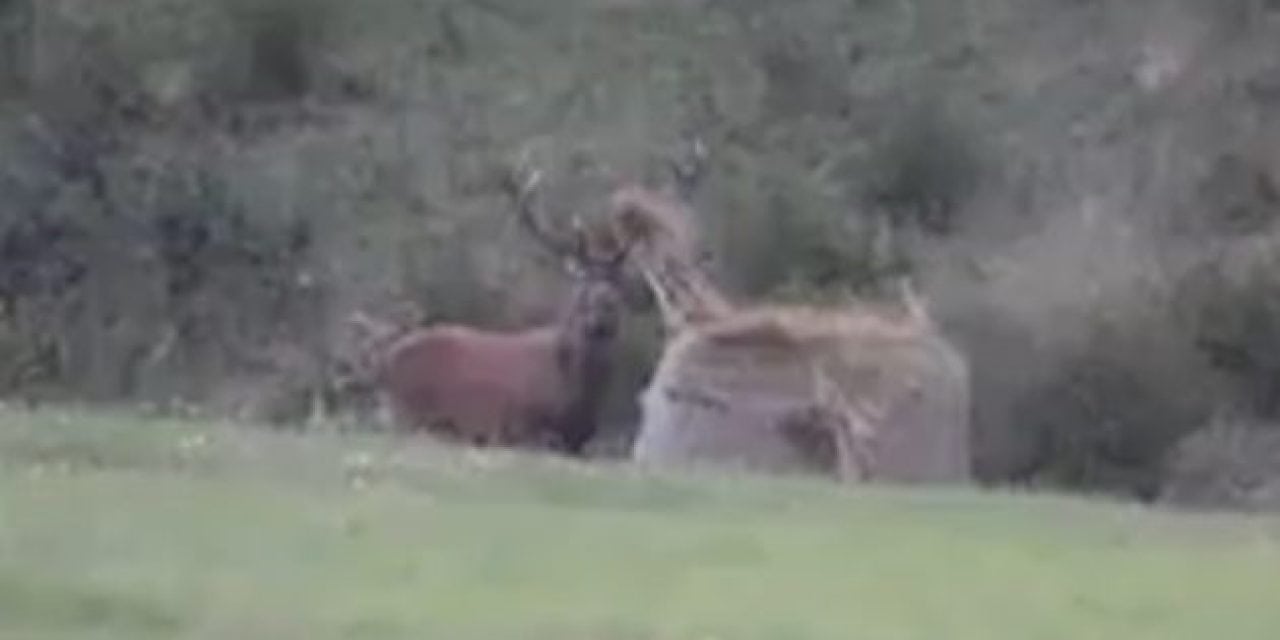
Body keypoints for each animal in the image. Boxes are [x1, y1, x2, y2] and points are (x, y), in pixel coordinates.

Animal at [343, 162, 632, 458]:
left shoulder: (583, 439)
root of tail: (385, 364)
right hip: (409, 412)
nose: (606, 304)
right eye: (582, 278)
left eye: (620, 281)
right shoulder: (518, 425)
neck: (576, 401)